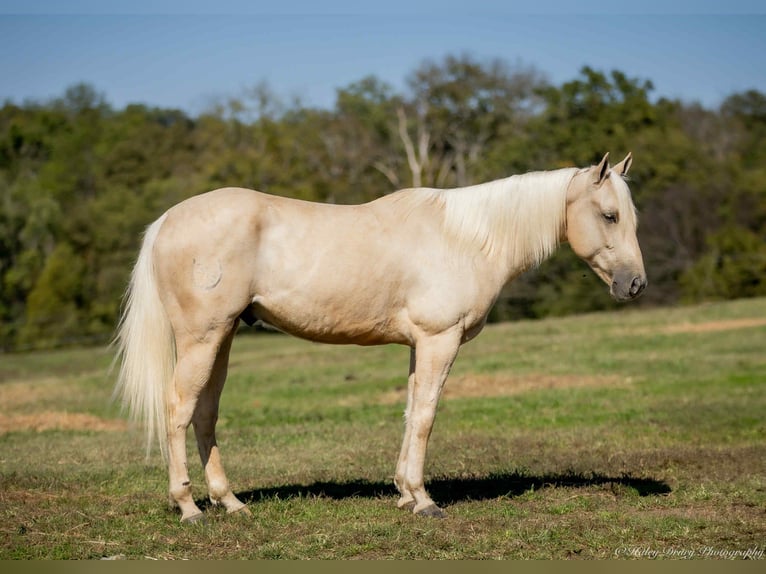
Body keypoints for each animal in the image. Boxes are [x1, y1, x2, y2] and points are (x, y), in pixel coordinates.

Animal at [113, 152, 646, 522]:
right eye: (610, 215)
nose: (635, 284)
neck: (466, 238)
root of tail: (167, 220)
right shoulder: (438, 340)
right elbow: (427, 415)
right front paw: (425, 501)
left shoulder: (419, 345)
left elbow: (411, 412)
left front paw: (405, 494)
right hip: (202, 339)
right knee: (178, 410)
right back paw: (189, 508)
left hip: (221, 338)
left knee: (205, 413)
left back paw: (231, 503)